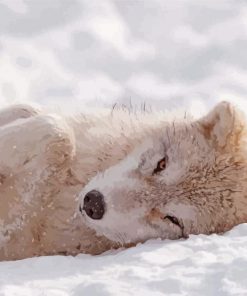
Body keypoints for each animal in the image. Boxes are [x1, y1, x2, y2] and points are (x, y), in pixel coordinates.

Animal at [0, 102, 247, 262]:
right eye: (161, 164)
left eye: (172, 219)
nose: (94, 204)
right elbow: (30, 111)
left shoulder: (13, 233)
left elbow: (57, 133)